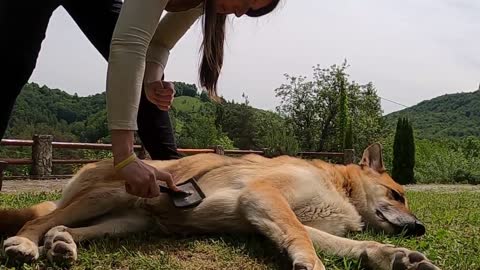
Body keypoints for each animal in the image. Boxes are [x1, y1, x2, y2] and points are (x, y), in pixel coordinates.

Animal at [1, 142, 440, 268]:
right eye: (397, 194)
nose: (420, 228)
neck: (341, 189)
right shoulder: (263, 196)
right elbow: (301, 237)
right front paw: (311, 264)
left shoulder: (276, 216)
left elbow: (351, 245)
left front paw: (395, 256)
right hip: (112, 194)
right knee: (38, 222)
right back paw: (25, 244)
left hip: (126, 223)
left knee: (66, 226)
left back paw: (62, 244)